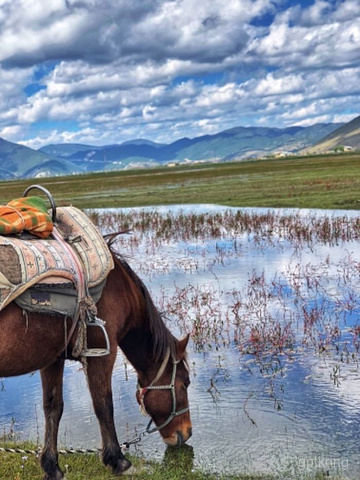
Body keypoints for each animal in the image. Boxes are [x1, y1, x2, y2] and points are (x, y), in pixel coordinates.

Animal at [0, 246, 191, 478]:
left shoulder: (53, 359)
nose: (187, 433)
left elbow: (53, 408)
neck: (121, 289)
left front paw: (52, 467)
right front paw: (118, 460)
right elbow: (104, 405)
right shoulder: (102, 355)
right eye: (186, 383)